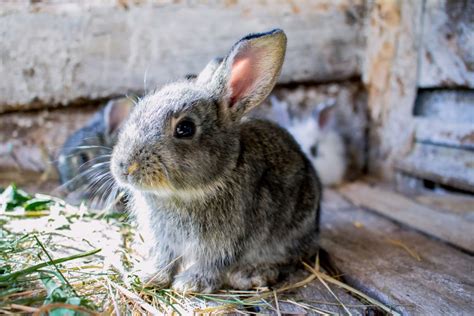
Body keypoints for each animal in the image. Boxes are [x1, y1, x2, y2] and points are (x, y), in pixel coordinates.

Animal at [110, 29, 322, 292]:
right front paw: (148, 276)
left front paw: (190, 284)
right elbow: (164, 258)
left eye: (185, 128)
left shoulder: (228, 242)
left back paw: (251, 274)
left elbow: (212, 264)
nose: (124, 168)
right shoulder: (164, 241)